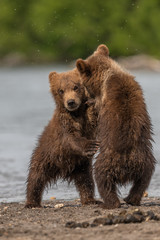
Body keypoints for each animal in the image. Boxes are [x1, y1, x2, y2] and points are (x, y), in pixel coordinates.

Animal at [25, 68, 98, 207]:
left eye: (75, 87)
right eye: (61, 90)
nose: (71, 102)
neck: (76, 113)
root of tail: (63, 170)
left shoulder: (87, 122)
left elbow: (93, 118)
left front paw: (92, 102)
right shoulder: (64, 125)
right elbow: (70, 139)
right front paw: (91, 146)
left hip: (81, 165)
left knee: (86, 180)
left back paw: (90, 199)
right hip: (45, 157)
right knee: (36, 178)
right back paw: (32, 202)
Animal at [76, 44, 156, 208]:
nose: (84, 92)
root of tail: (126, 166)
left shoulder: (104, 99)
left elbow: (97, 111)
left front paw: (89, 103)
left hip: (107, 159)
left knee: (102, 178)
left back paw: (110, 202)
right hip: (145, 160)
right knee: (143, 180)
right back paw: (132, 198)